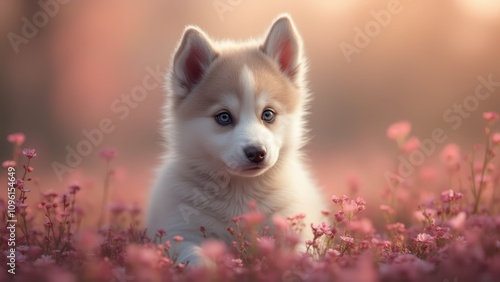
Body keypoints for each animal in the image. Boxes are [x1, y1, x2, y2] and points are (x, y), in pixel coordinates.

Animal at [146, 13, 326, 264]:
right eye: (224, 117)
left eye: (268, 114)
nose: (256, 152)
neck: (240, 192)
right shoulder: (179, 231)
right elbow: (195, 256)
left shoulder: (292, 222)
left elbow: (302, 253)